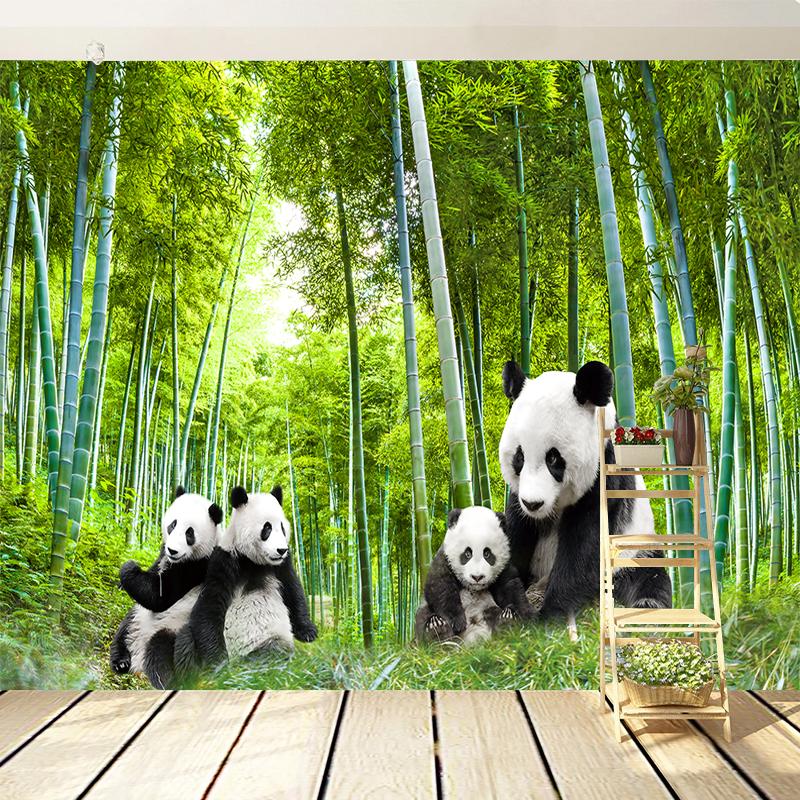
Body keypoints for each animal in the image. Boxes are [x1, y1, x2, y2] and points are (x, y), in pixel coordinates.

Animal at [109, 487, 223, 688]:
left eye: (189, 533)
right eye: (173, 524)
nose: (173, 550)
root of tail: (137, 663)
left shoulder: (196, 567)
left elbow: (159, 596)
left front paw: (129, 566)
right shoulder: (163, 556)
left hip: (172, 627)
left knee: (161, 646)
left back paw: (163, 682)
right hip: (138, 618)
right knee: (125, 628)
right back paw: (120, 661)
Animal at [174, 485, 317, 674]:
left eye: (282, 528)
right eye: (267, 528)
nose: (281, 550)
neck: (253, 560)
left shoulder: (282, 565)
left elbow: (293, 590)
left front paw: (309, 632)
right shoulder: (225, 560)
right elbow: (209, 604)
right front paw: (218, 662)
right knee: (185, 639)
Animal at [415, 506, 536, 646]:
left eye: (487, 553)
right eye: (467, 554)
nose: (477, 577)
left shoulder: (503, 567)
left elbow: (511, 587)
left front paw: (527, 617)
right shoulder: (444, 558)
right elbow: (440, 585)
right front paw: (456, 621)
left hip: (488, 609)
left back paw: (507, 621)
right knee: (423, 616)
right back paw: (437, 630)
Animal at [499, 360, 672, 623]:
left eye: (553, 458)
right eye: (519, 457)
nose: (533, 504)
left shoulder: (603, 477)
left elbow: (586, 548)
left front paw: (551, 614)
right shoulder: (518, 498)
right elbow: (515, 532)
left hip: (634, 550)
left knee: (648, 579)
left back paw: (646, 605)